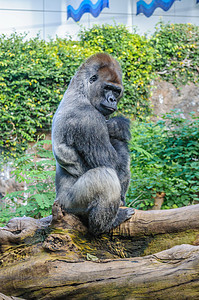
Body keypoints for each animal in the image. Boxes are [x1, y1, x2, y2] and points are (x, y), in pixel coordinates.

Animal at [52, 52, 134, 234]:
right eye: (107, 88)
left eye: (116, 91)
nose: (112, 99)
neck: (80, 91)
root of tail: (58, 200)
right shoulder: (89, 120)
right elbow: (112, 164)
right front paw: (119, 126)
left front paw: (117, 126)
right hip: (68, 205)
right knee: (106, 177)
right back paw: (104, 226)